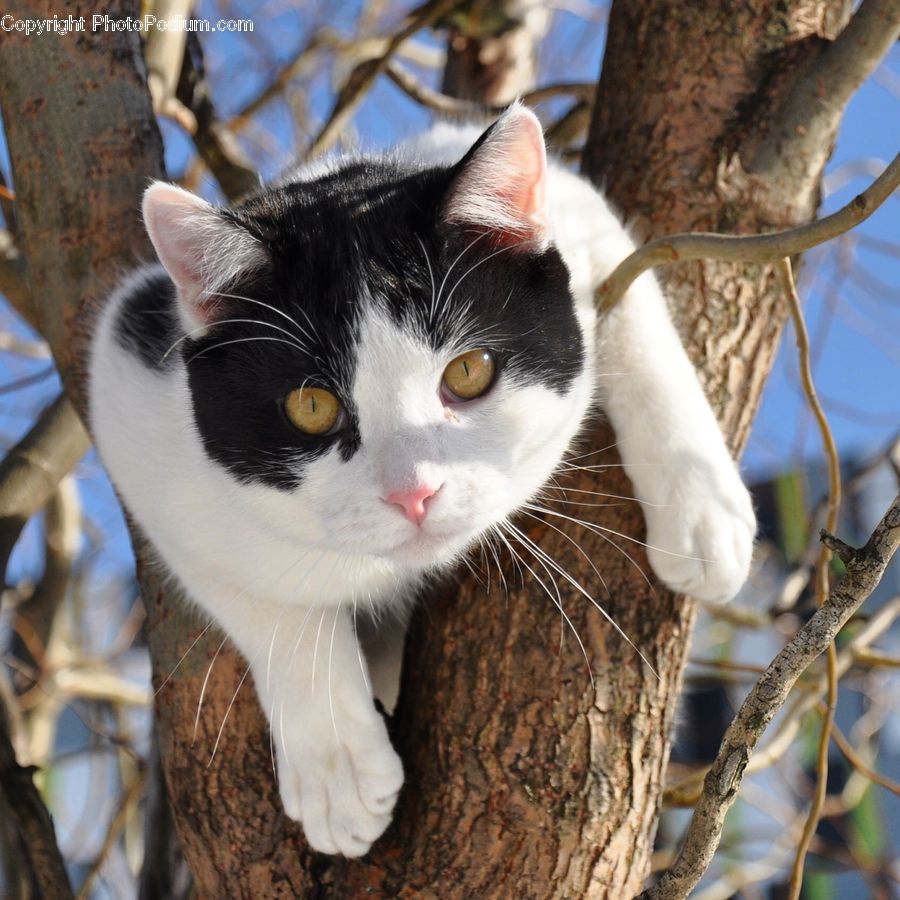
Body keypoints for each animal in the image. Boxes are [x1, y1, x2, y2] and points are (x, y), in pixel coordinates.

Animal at [89, 105, 752, 856]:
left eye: (468, 372)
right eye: (311, 407)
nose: (414, 492)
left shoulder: (570, 212)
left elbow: (634, 302)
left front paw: (704, 509)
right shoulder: (128, 382)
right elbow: (258, 593)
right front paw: (337, 768)